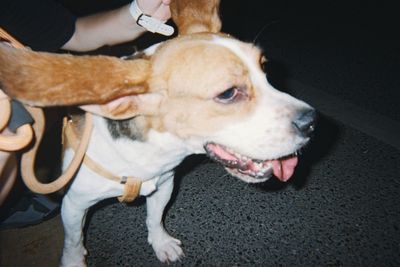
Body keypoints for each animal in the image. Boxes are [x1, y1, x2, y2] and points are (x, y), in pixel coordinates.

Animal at [0, 0, 316, 264]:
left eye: (264, 68)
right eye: (228, 93)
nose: (312, 123)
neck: (146, 155)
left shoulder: (164, 185)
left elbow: (155, 218)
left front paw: (160, 243)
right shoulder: (74, 205)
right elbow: (74, 241)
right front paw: (74, 261)